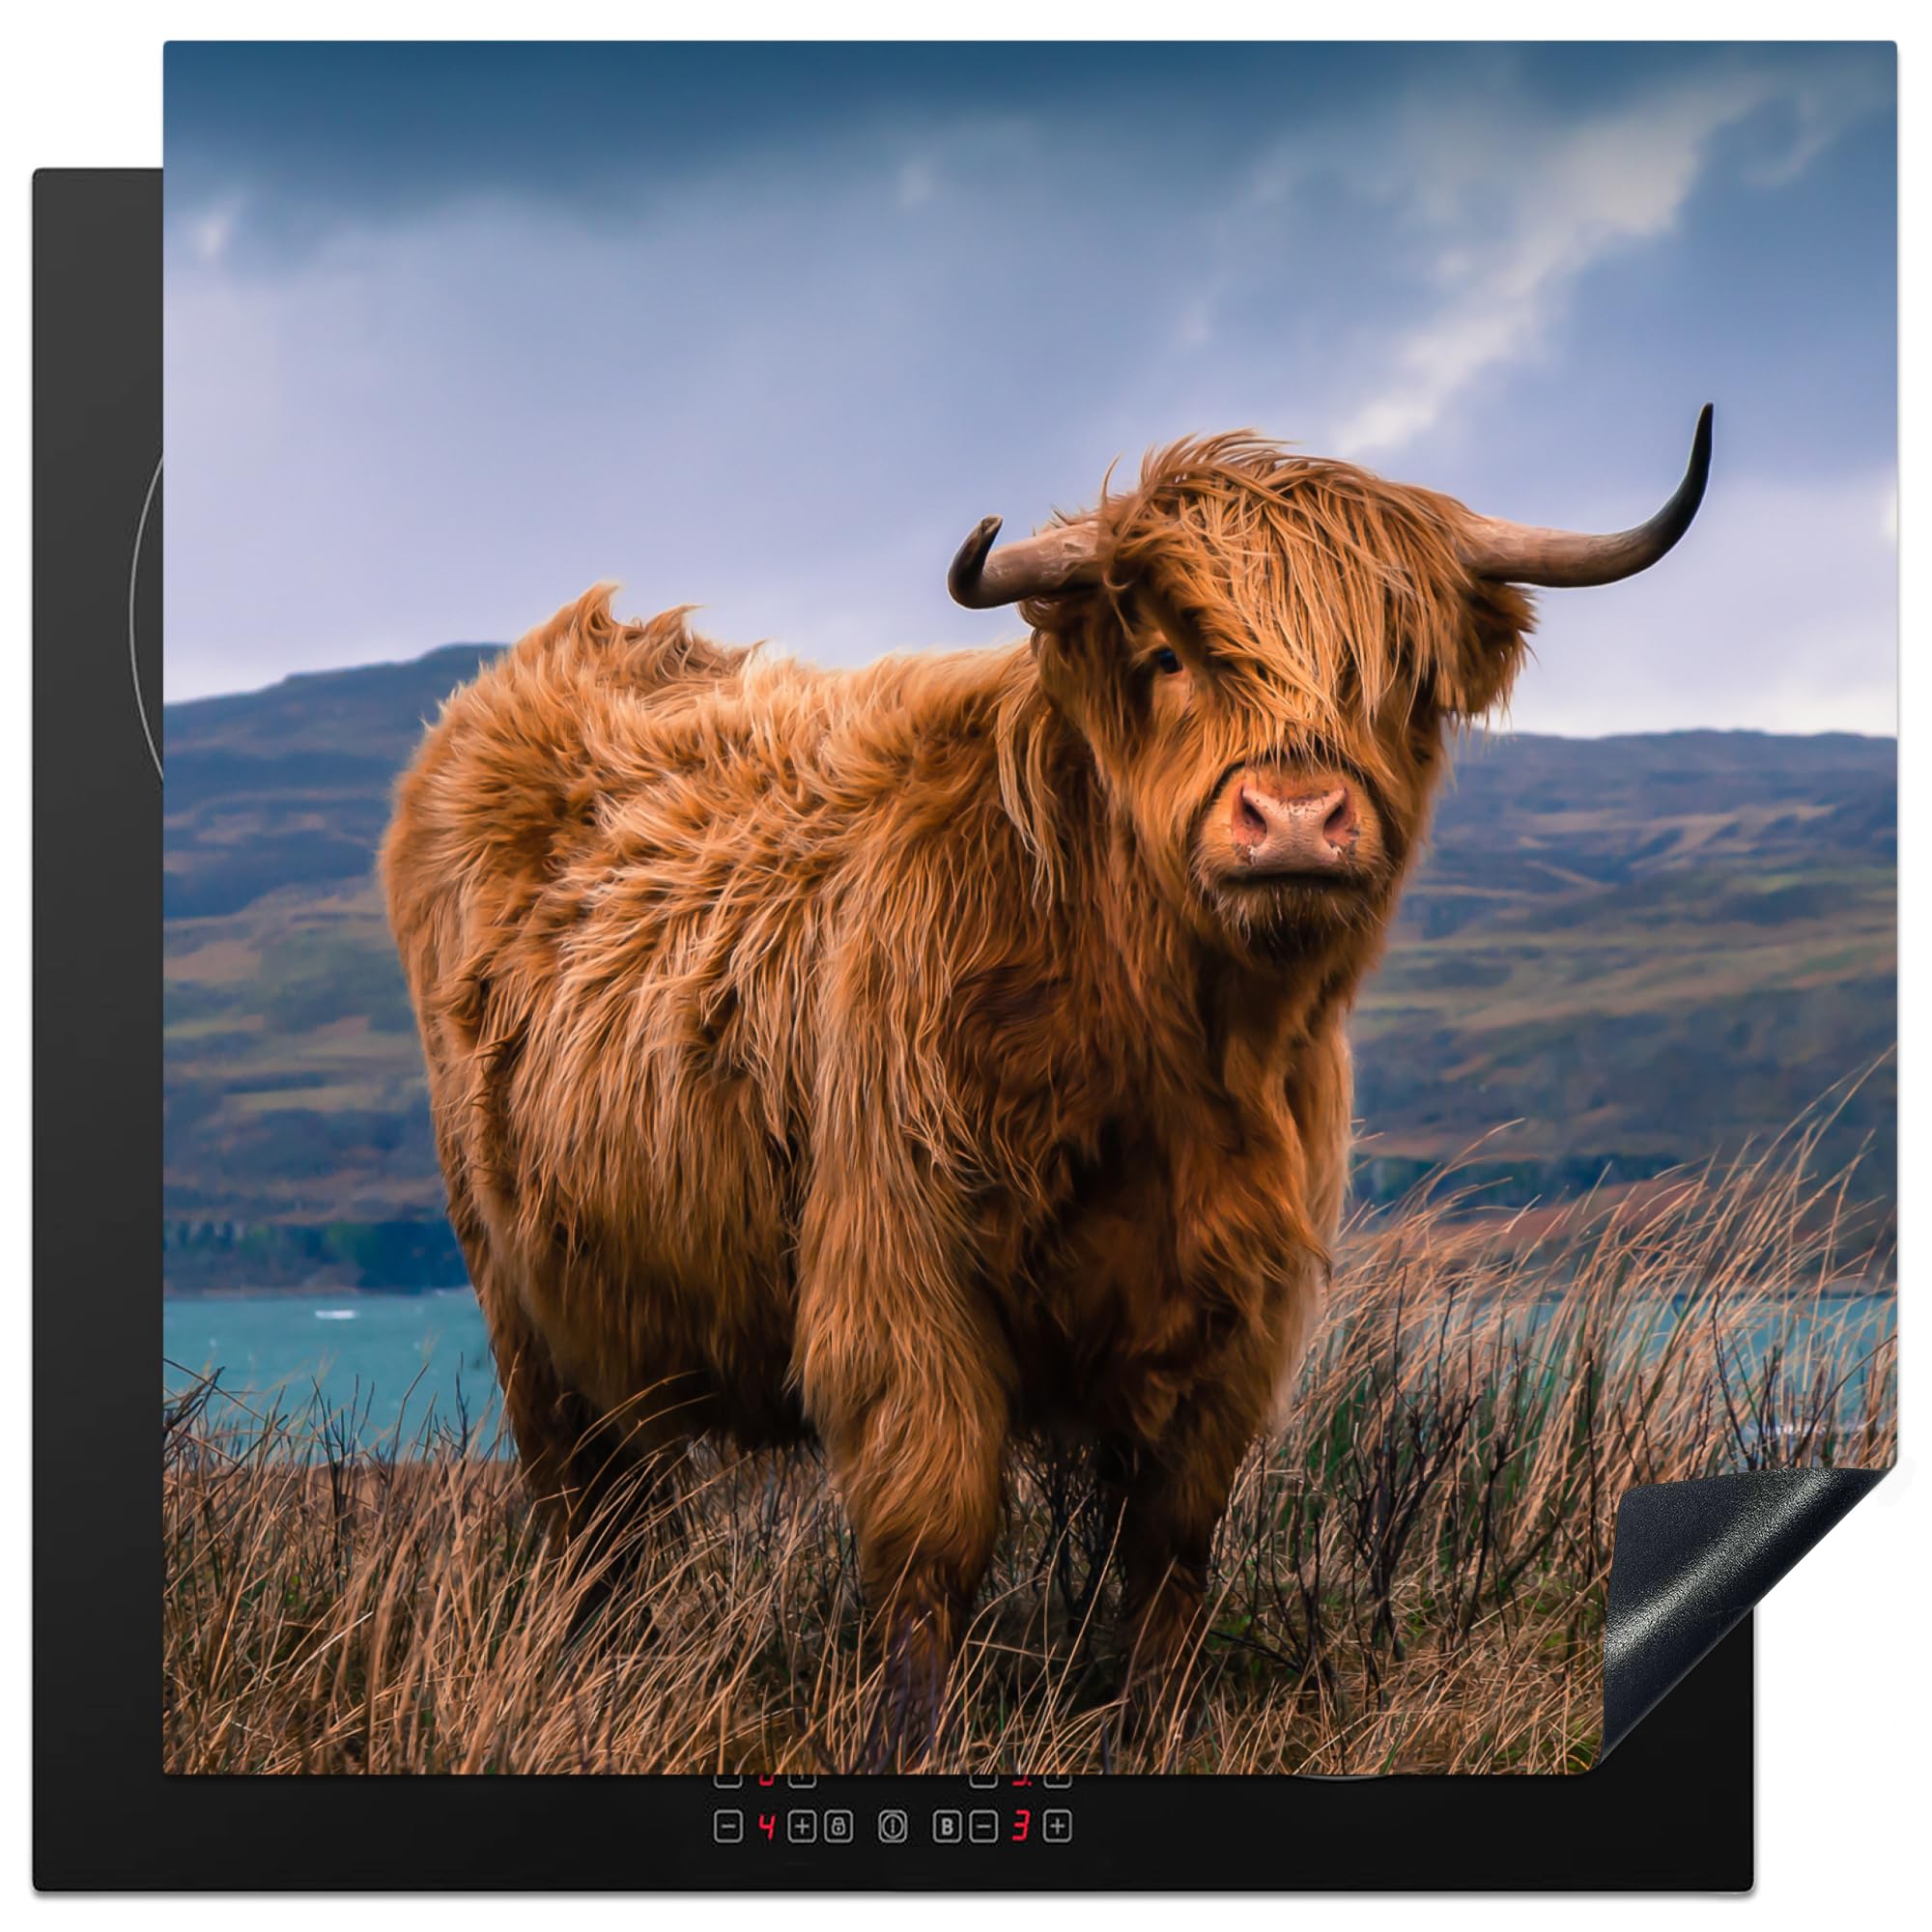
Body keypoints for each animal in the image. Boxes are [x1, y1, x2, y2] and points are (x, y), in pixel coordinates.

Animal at [381, 409, 1712, 1761]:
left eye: (1395, 674)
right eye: (1168, 653)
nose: (1293, 818)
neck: (1166, 1052)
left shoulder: (1237, 1313)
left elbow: (1170, 1547)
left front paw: (1159, 1726)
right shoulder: (901, 1286)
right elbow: (930, 1543)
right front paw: (909, 1743)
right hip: (522, 1301)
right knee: (586, 1514)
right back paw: (592, 1674)